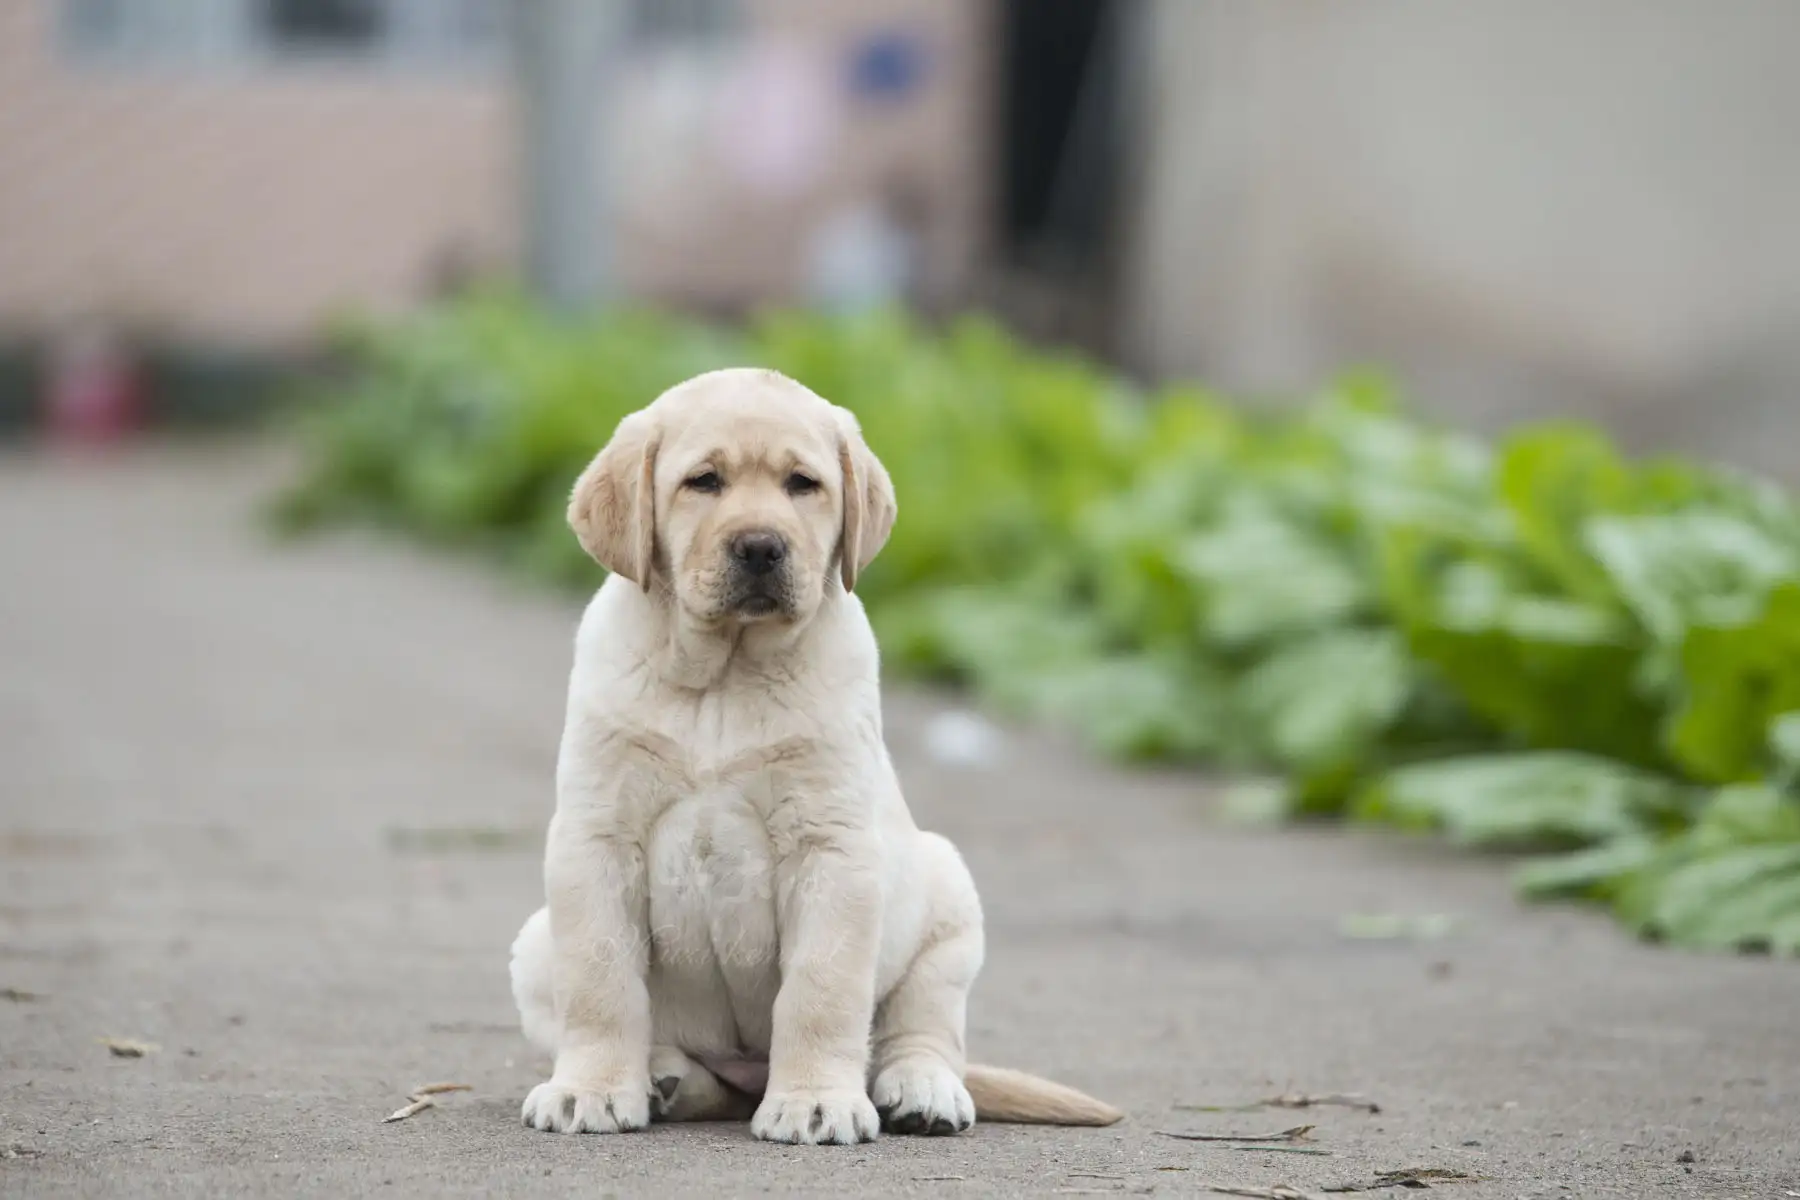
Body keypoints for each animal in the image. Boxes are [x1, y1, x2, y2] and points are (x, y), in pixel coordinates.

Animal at [511, 367, 1123, 1144]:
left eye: (803, 484)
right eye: (703, 481)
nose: (761, 547)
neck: (726, 676)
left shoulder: (831, 849)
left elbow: (820, 992)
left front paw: (815, 1102)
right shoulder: (595, 838)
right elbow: (600, 982)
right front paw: (588, 1089)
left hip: (948, 901)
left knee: (922, 1033)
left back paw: (921, 1092)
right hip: (535, 943)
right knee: (689, 1063)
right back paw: (665, 1077)